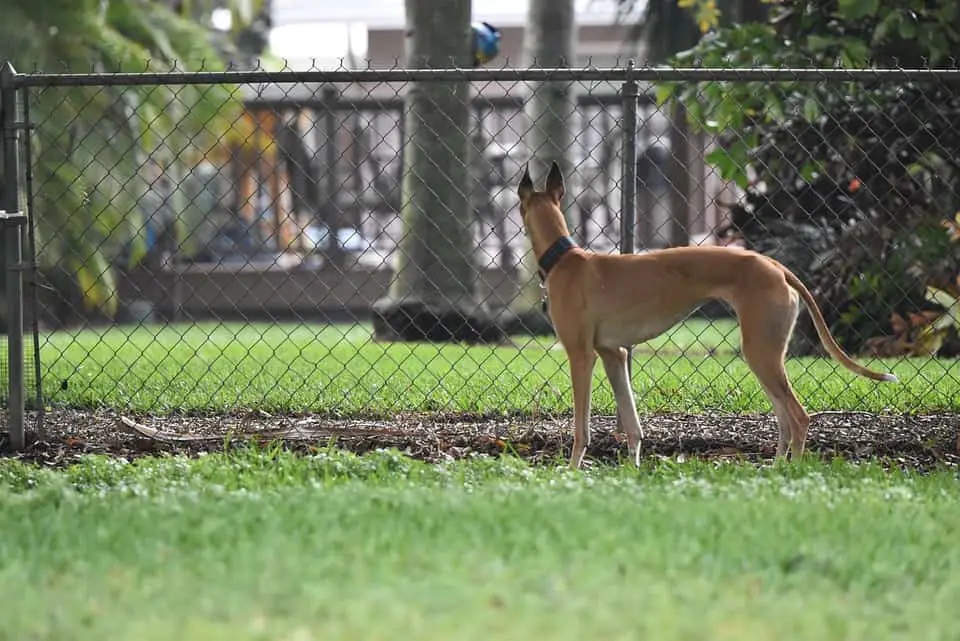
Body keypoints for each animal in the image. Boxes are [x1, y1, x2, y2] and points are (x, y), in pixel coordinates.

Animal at [516, 162, 900, 468]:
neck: (564, 258)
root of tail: (776, 266)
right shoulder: (614, 353)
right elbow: (632, 424)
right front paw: (633, 471)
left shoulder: (582, 356)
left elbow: (581, 427)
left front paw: (572, 471)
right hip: (765, 354)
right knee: (783, 419)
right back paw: (776, 469)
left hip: (760, 352)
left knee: (799, 417)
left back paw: (792, 471)